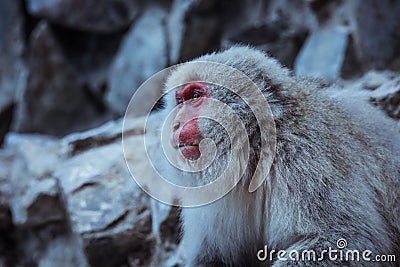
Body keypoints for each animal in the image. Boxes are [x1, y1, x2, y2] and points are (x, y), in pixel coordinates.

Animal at [152, 47, 398, 266]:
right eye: (180, 101)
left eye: (194, 96)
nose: (175, 124)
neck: (253, 154)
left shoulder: (306, 161)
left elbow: (347, 240)